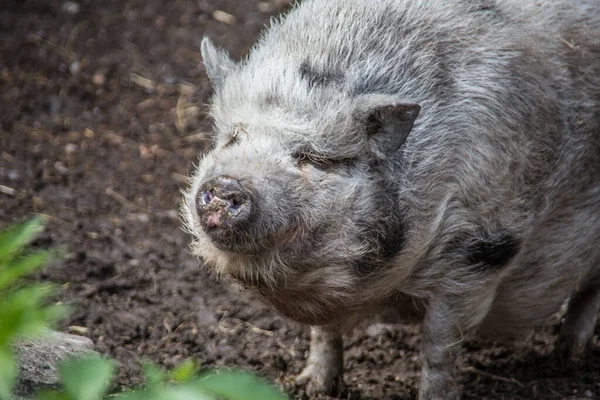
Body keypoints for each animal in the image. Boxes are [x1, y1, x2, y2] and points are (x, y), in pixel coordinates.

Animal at [183, 0, 600, 398]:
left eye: (312, 157)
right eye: (233, 138)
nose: (227, 185)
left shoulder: (476, 254)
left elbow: (439, 345)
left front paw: (435, 396)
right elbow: (324, 333)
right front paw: (310, 387)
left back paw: (569, 358)